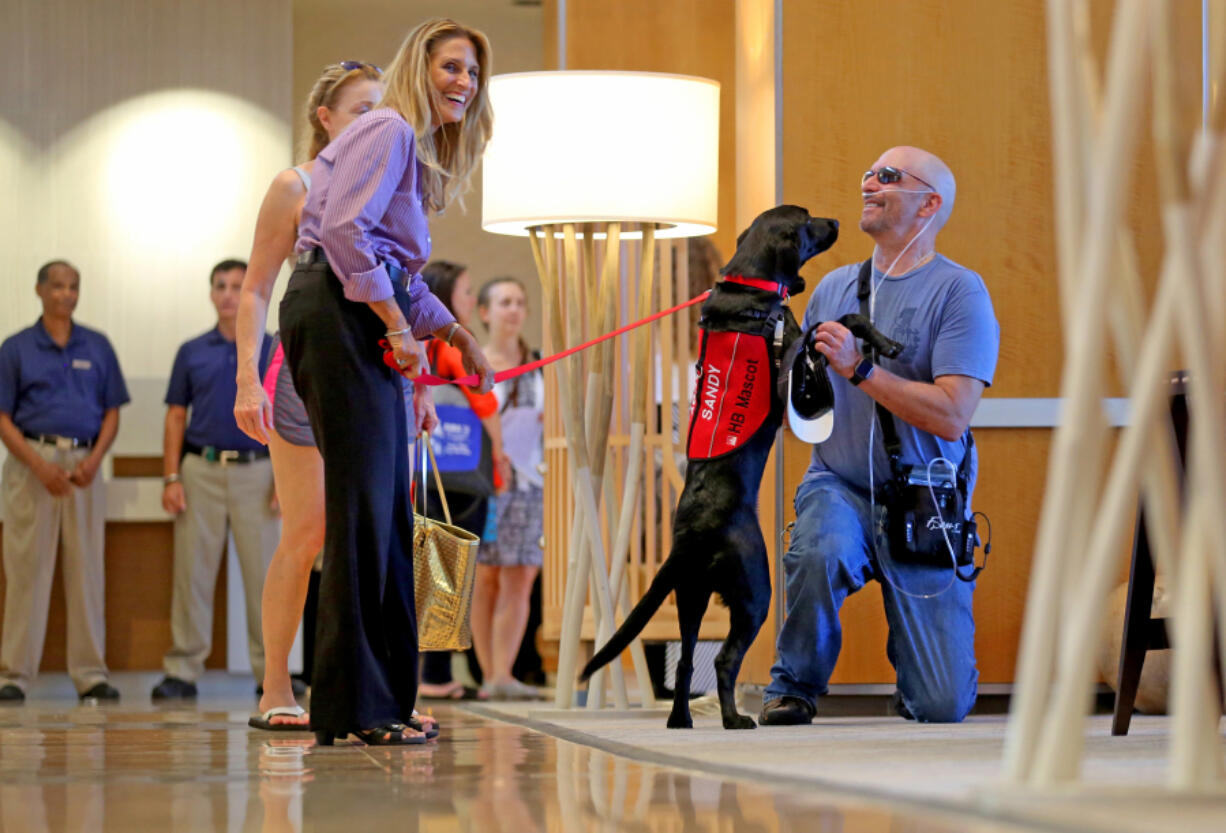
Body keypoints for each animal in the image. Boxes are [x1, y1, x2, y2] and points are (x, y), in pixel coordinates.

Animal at [578, 203, 838, 731]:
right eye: (807, 219)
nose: (839, 223)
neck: (750, 288)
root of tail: (689, 539)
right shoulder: (794, 366)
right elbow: (830, 327)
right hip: (755, 592)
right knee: (722, 659)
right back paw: (735, 719)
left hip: (690, 596)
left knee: (684, 660)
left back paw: (681, 720)